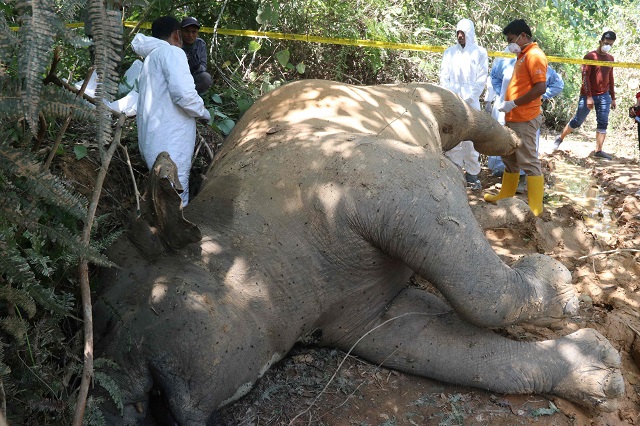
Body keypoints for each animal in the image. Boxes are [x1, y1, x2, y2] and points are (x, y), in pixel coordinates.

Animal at [95, 79, 624, 422]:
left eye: (111, 325)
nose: (115, 402)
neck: (248, 254)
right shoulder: (369, 320)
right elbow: (478, 356)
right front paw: (594, 373)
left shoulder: (399, 183)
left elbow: (482, 294)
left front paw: (558, 284)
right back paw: (516, 208)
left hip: (410, 100)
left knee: (459, 117)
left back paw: (518, 156)